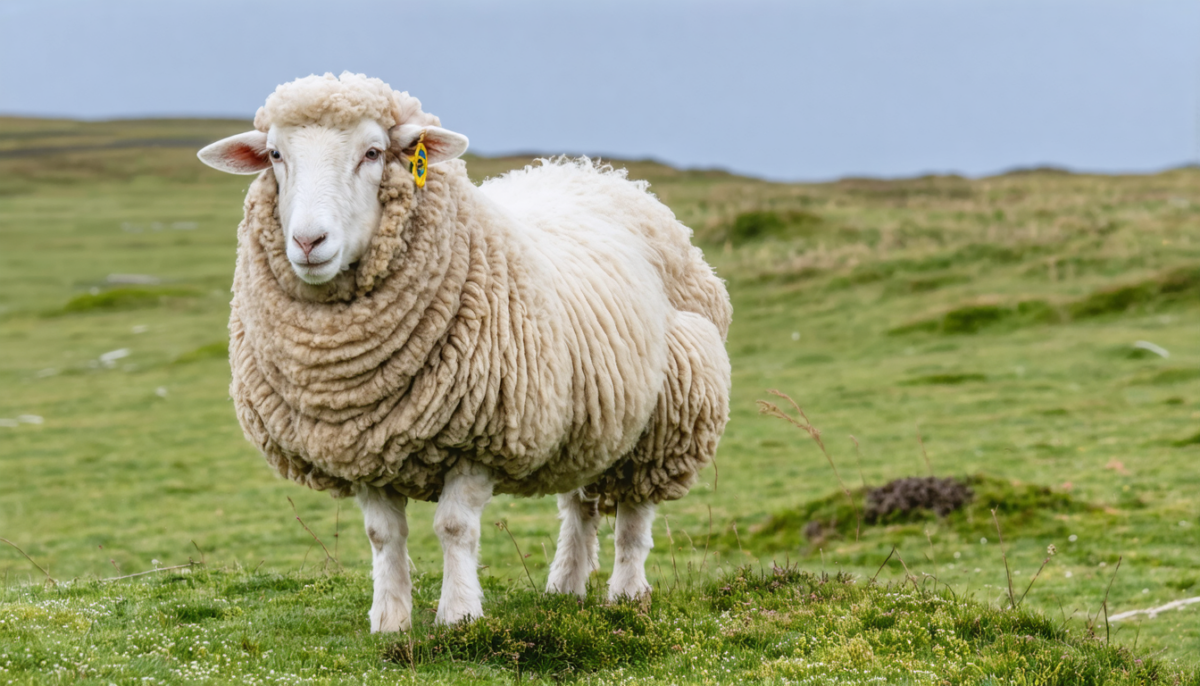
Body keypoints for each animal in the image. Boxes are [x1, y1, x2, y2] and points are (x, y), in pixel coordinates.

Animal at [197, 72, 731, 632]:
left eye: (372, 152)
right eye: (276, 154)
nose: (307, 241)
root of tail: (593, 171)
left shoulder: (479, 435)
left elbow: (455, 527)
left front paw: (458, 615)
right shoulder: (362, 444)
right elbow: (383, 535)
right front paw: (390, 620)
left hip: (668, 414)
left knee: (633, 514)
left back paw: (626, 593)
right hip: (590, 417)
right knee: (579, 506)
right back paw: (565, 587)